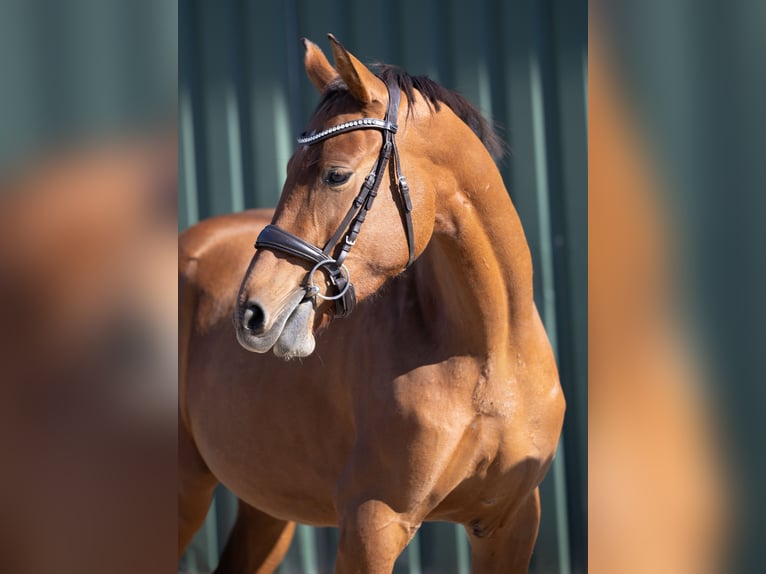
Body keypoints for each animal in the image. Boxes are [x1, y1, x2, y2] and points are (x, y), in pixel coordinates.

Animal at [178, 35, 565, 573]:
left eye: (336, 175)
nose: (251, 313)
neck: (490, 353)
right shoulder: (373, 526)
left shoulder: (511, 522)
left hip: (266, 510)